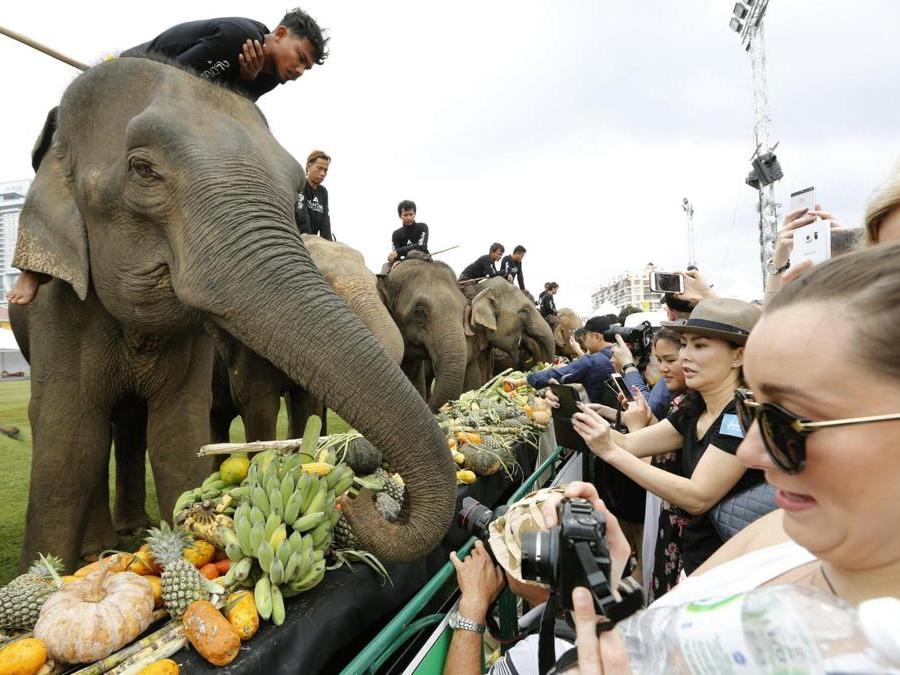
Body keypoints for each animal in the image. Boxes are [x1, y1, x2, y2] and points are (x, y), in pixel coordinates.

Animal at [11, 57, 455, 570]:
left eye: (292, 187)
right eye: (142, 170)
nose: (360, 498)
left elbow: (182, 431)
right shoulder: (59, 309)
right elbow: (69, 439)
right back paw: (100, 548)